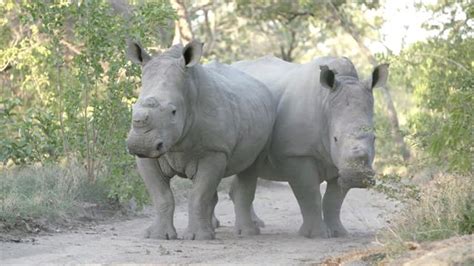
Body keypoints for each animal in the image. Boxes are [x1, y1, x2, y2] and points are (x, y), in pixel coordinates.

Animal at [126, 40, 274, 241]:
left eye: (173, 112)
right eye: (133, 108)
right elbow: (162, 196)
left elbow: (197, 196)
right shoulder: (148, 156)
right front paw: (158, 236)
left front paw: (198, 237)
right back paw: (213, 228)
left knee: (249, 170)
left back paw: (248, 232)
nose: (141, 144)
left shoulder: (214, 150)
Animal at [230, 55, 388, 237]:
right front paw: (316, 235)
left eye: (374, 138)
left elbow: (333, 200)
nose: (357, 177)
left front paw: (338, 233)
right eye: (335, 139)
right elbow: (309, 194)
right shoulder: (296, 154)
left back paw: (256, 224)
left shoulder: (339, 161)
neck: (326, 103)